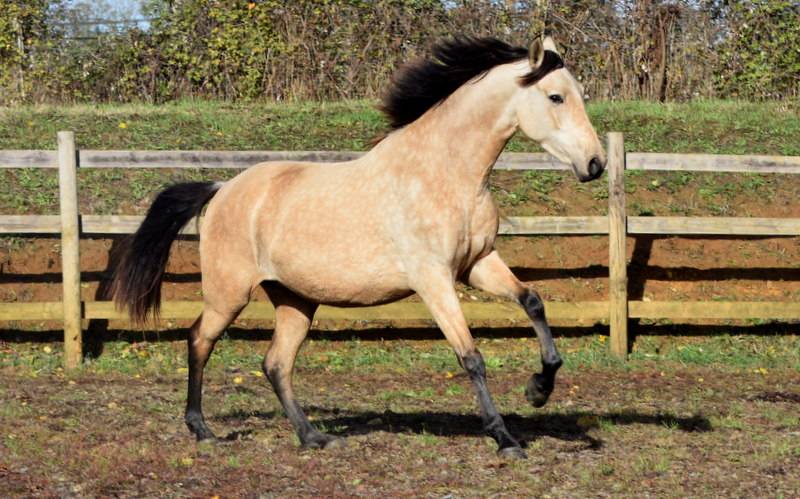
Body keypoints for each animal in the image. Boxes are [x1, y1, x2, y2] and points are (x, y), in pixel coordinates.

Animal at [111, 36, 606, 459]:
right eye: (556, 97)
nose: (596, 164)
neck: (445, 174)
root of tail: (220, 189)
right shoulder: (434, 279)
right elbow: (471, 357)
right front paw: (505, 439)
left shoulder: (478, 264)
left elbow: (533, 302)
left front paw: (538, 389)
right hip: (228, 293)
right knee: (200, 340)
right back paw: (202, 430)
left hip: (295, 299)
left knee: (276, 363)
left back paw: (314, 437)